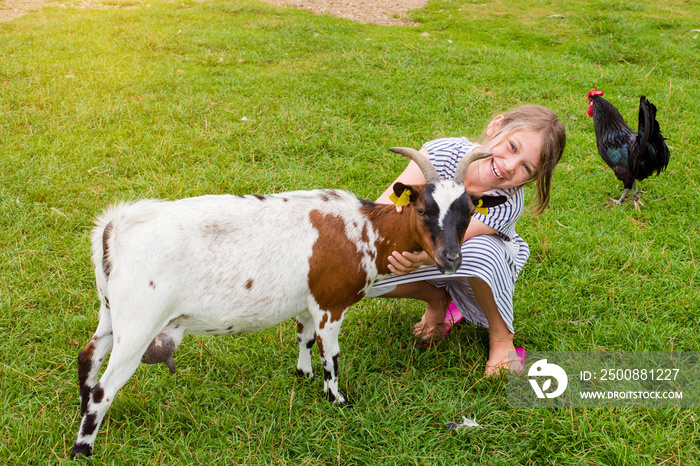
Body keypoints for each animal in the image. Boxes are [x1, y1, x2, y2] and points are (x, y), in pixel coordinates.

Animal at [71, 147, 506, 456]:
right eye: (422, 208)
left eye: (469, 212)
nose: (451, 259)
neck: (364, 230)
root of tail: (117, 225)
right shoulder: (331, 304)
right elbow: (332, 354)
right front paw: (337, 399)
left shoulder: (308, 302)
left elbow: (305, 338)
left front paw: (304, 375)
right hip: (139, 322)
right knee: (105, 388)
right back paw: (83, 449)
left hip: (110, 312)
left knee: (87, 358)